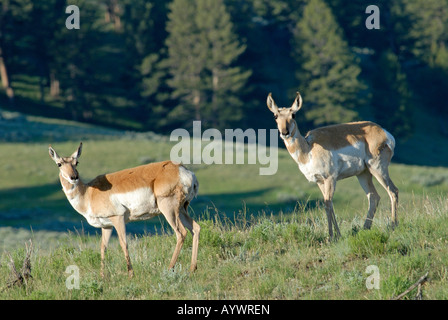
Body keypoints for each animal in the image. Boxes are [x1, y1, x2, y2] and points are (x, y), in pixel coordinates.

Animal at [48, 143, 200, 278]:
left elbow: (123, 243)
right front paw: (102, 276)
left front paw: (131, 274)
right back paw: (192, 269)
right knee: (196, 228)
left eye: (77, 162)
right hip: (181, 210)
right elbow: (103, 247)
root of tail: (183, 170)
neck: (88, 193)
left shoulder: (118, 218)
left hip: (168, 209)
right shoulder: (107, 226)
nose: (74, 177)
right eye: (59, 164)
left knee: (181, 233)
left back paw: (169, 269)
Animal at [266, 92, 400, 238]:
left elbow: (328, 204)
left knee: (393, 191)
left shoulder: (330, 178)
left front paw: (330, 237)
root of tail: (383, 132)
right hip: (363, 174)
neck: (308, 149)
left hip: (378, 169)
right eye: (275, 116)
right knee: (373, 196)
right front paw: (338, 235)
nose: (285, 132)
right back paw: (365, 229)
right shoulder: (319, 181)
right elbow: (328, 204)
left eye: (293, 115)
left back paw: (393, 227)